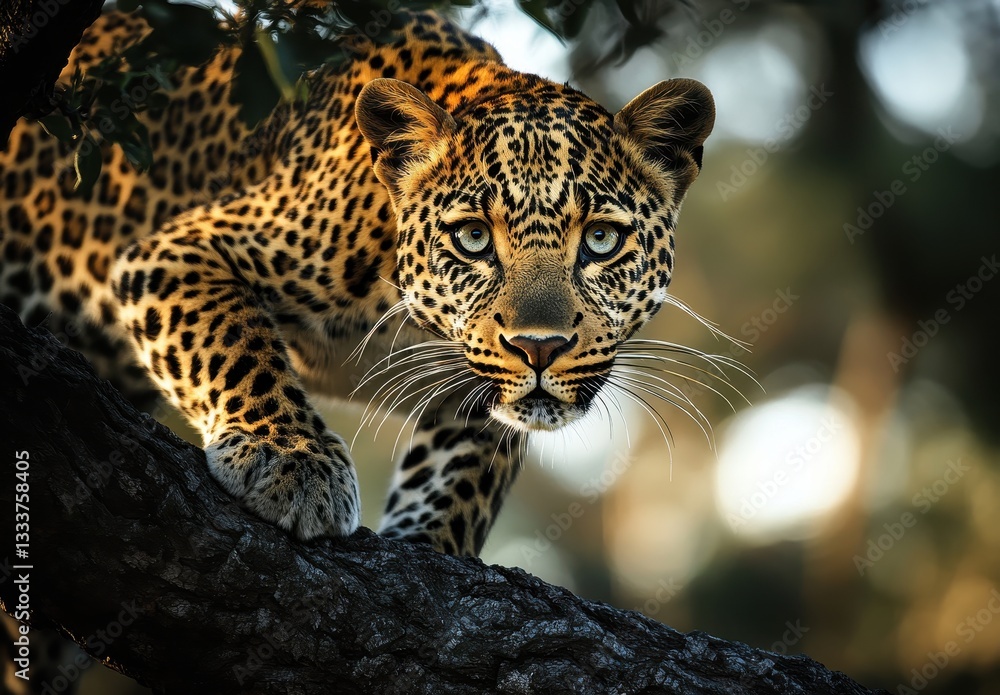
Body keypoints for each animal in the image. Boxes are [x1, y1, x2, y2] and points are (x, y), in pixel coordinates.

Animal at [0, 8, 715, 557]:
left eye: (601, 240)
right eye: (472, 238)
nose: (539, 347)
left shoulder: (480, 389)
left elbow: (467, 473)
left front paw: (431, 544)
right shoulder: (181, 248)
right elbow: (239, 343)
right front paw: (295, 462)